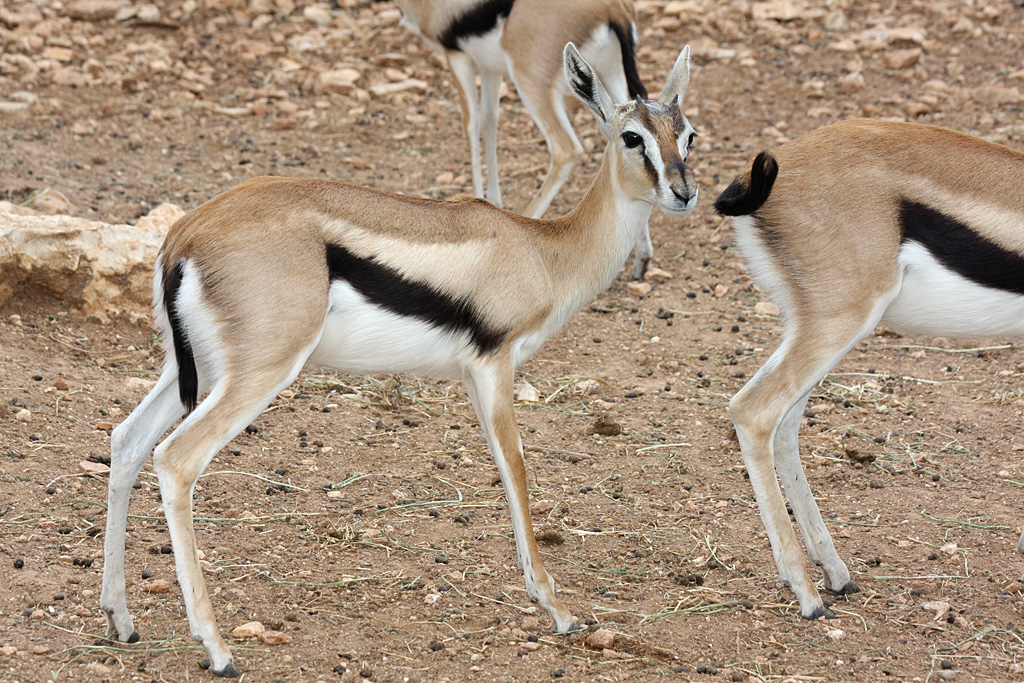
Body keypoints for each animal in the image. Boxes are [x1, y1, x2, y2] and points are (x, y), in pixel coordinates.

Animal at [100, 44, 697, 677]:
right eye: (632, 137)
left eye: (689, 135)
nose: (684, 193)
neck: (543, 251)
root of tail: (185, 234)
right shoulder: (494, 367)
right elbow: (516, 469)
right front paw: (559, 611)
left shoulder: (473, 377)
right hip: (258, 375)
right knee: (175, 459)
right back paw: (217, 649)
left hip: (191, 372)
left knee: (127, 440)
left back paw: (120, 620)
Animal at [393, 0, 657, 279]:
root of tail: (612, 8)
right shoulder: (488, 68)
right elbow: (489, 120)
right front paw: (492, 200)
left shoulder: (457, 57)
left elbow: (471, 124)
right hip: (608, 80)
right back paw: (642, 258)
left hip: (531, 81)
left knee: (567, 150)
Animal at [714, 118, 1024, 620]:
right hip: (843, 318)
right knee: (754, 411)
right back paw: (808, 595)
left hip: (815, 324)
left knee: (785, 427)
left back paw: (835, 574)